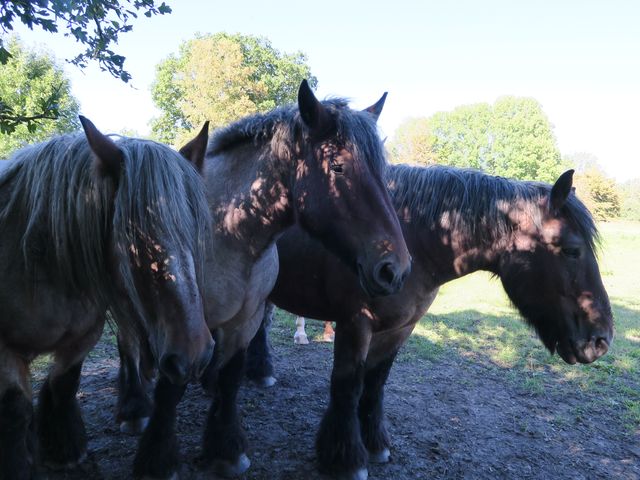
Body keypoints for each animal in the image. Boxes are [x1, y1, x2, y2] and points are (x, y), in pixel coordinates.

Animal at [0, 117, 215, 480]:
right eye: (134, 236)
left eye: (191, 229)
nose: (196, 353)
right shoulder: (5, 350)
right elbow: (14, 409)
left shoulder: (83, 336)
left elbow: (64, 384)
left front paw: (63, 449)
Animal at [127, 80, 412, 478]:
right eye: (338, 167)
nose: (395, 268)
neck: (225, 227)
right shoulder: (180, 323)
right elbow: (171, 388)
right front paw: (156, 459)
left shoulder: (244, 321)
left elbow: (231, 378)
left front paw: (225, 449)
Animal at [245, 163, 616, 478]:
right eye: (571, 250)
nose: (601, 340)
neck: (410, 237)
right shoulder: (354, 325)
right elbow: (348, 388)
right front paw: (345, 459)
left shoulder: (400, 328)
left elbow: (375, 384)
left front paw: (375, 445)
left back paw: (261, 372)